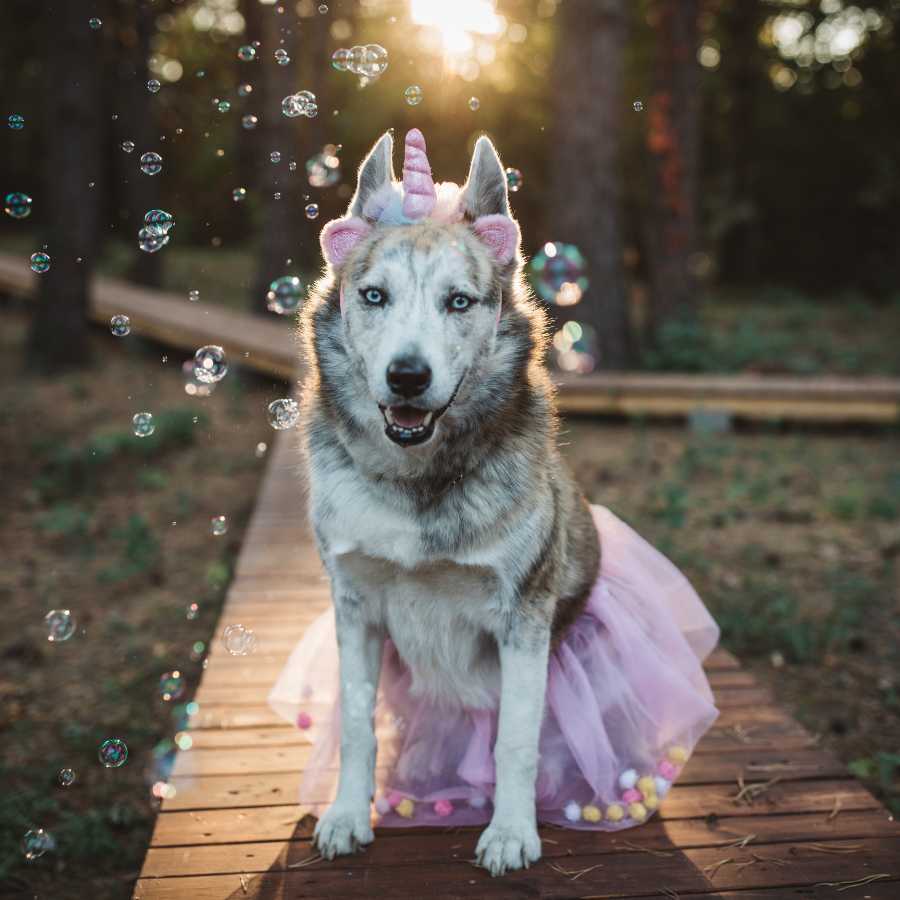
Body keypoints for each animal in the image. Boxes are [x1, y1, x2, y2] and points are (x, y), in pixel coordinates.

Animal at [298, 130, 600, 876]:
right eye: (373, 295)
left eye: (459, 302)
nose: (408, 376)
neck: (417, 481)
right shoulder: (354, 606)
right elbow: (355, 722)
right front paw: (348, 815)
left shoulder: (524, 618)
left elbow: (515, 739)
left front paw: (512, 831)